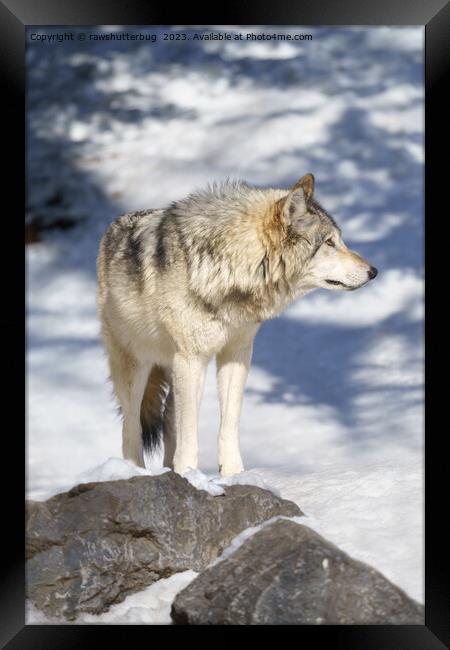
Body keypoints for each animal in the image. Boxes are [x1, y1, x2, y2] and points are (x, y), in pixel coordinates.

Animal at [96, 175, 378, 474]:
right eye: (328, 243)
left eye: (339, 240)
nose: (373, 271)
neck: (230, 267)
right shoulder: (193, 359)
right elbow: (189, 433)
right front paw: (190, 474)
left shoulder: (236, 353)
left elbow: (229, 424)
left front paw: (231, 473)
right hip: (136, 368)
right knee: (131, 428)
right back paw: (132, 471)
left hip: (172, 370)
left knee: (168, 421)